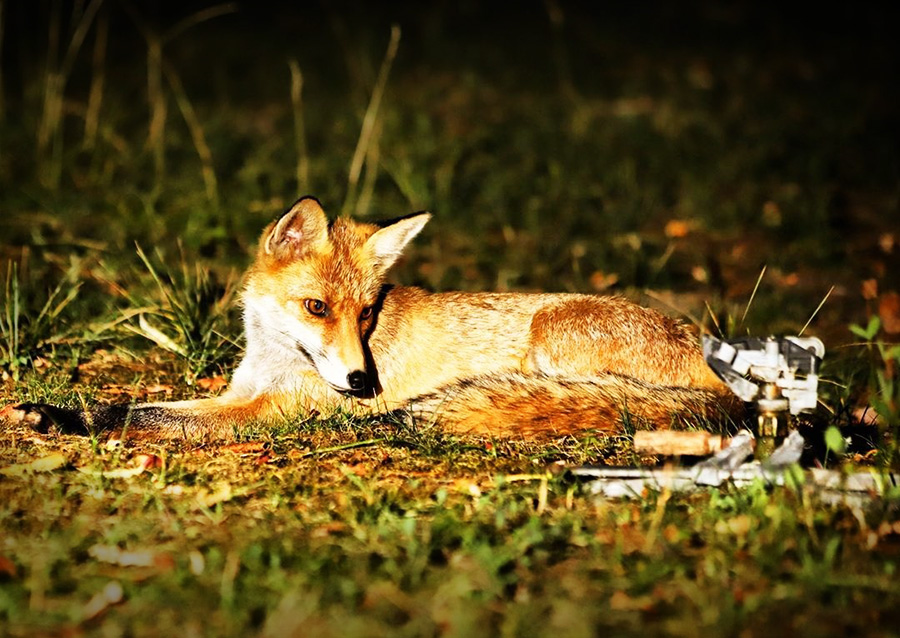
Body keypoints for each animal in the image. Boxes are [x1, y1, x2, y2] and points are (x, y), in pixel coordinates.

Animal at [3, 198, 740, 442]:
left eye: (366, 313)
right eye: (316, 308)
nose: (363, 384)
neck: (273, 362)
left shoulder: (269, 412)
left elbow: (142, 414)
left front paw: (73, 419)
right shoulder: (240, 395)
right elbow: (151, 405)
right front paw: (62, 415)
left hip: (549, 336)